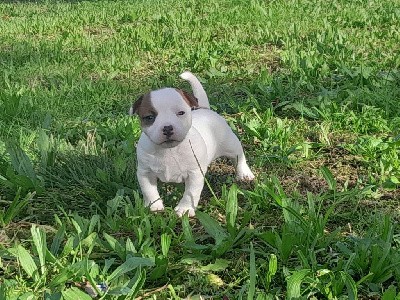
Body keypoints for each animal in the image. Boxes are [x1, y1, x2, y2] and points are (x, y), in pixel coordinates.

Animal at [130, 71, 255, 216]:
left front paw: (185, 209)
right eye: (149, 117)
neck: (169, 150)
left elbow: (191, 192)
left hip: (230, 145)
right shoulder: (145, 172)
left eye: (181, 113)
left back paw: (244, 173)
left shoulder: (195, 174)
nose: (167, 128)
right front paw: (153, 206)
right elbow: (149, 190)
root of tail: (205, 109)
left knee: (239, 157)